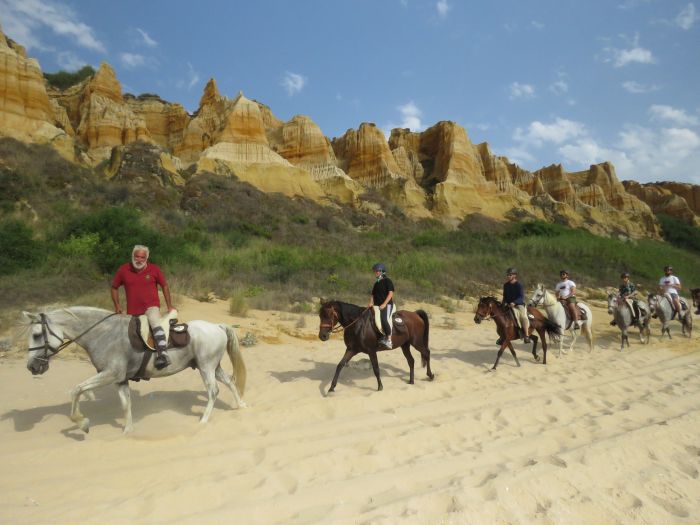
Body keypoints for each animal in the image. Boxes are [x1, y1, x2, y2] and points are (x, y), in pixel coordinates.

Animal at [22, 304, 246, 432]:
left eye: (36, 335)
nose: (32, 367)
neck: (104, 334)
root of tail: (217, 326)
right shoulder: (120, 380)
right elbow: (126, 405)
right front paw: (127, 432)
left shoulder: (110, 375)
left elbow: (77, 389)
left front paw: (82, 422)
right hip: (212, 366)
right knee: (230, 382)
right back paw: (240, 406)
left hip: (206, 367)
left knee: (213, 391)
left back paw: (203, 421)